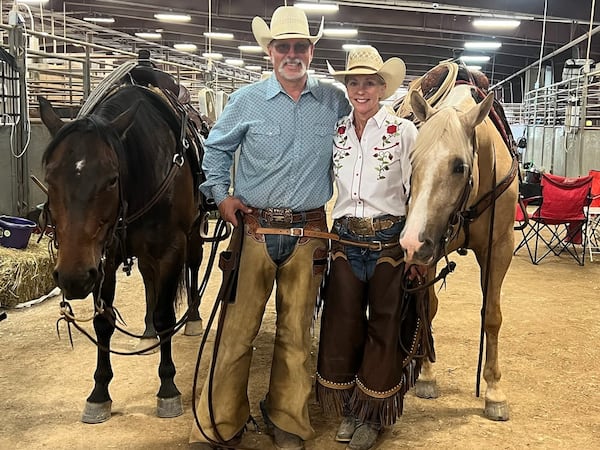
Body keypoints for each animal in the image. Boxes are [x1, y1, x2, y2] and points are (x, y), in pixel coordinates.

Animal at [38, 83, 206, 422]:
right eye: (50, 179)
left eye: (111, 179)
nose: (73, 277)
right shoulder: (105, 257)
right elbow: (103, 322)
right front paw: (99, 393)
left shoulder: (171, 248)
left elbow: (166, 314)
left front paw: (168, 388)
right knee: (148, 278)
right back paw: (148, 332)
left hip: (193, 234)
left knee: (194, 266)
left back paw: (192, 318)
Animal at [398, 81, 520, 422]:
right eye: (412, 161)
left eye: (459, 166)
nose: (410, 242)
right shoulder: (428, 251)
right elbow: (427, 307)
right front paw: (427, 375)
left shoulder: (500, 248)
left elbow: (492, 316)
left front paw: (494, 392)